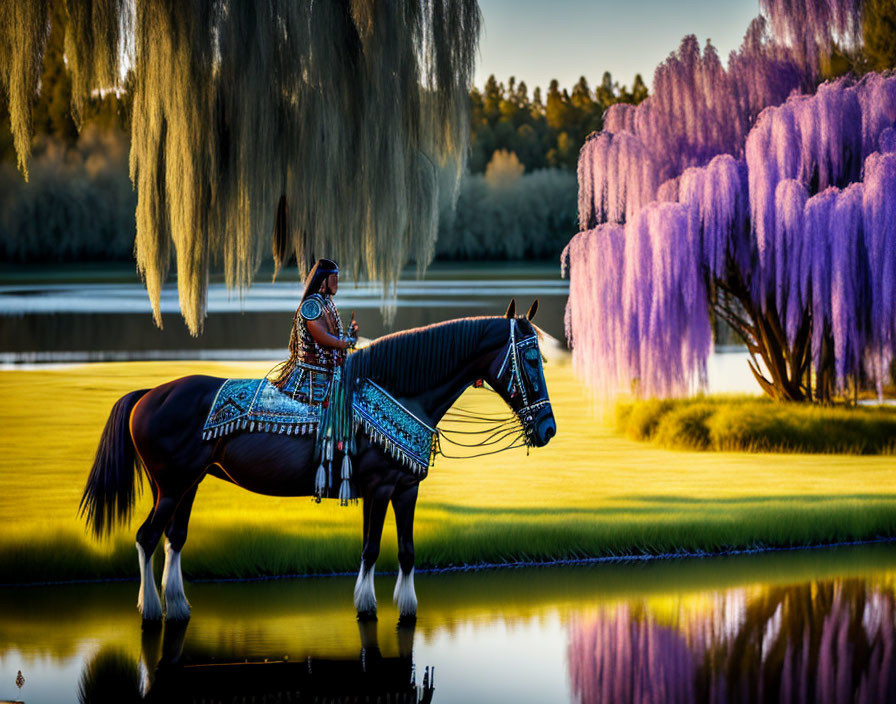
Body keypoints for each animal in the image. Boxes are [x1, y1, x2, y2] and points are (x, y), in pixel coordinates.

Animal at [82, 298, 552, 620]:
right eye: (530, 358)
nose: (548, 429)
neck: (401, 392)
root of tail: (149, 394)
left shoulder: (406, 490)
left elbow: (406, 551)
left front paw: (408, 608)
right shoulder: (378, 488)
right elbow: (370, 548)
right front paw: (365, 605)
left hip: (188, 485)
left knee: (174, 539)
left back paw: (178, 607)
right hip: (171, 486)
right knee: (146, 537)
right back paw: (151, 611)